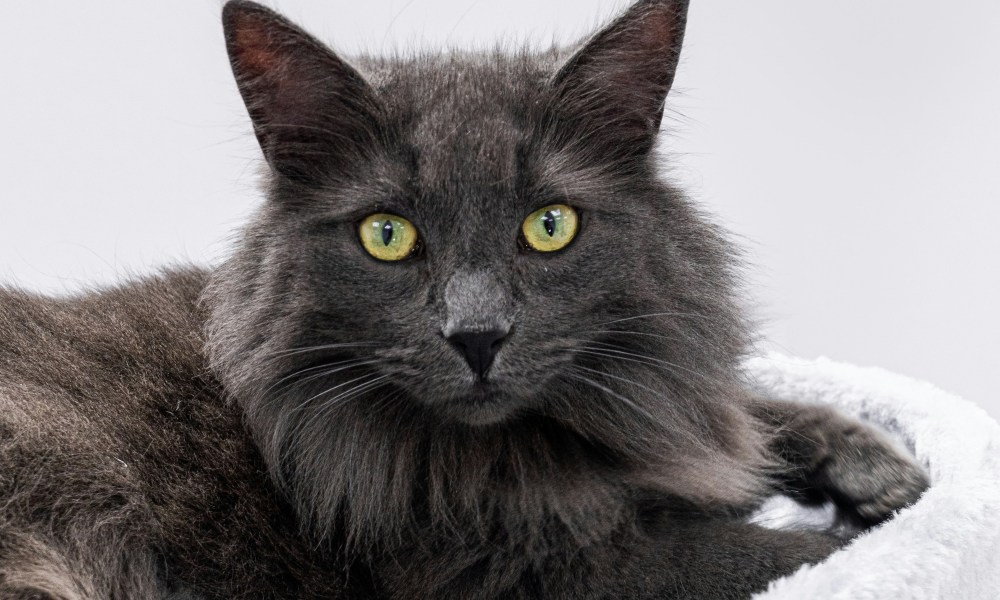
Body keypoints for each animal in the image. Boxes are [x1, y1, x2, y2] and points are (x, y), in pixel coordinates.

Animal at [1, 1, 928, 600]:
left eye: (549, 226)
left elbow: (748, 412)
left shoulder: (661, 406)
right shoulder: (537, 571)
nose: (477, 333)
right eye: (386, 235)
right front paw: (859, 527)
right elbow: (774, 553)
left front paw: (884, 471)